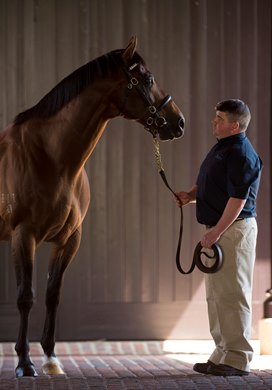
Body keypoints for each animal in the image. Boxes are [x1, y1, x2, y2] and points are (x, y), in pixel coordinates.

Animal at [0, 37, 185, 378]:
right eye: (148, 79)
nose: (179, 122)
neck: (50, 156)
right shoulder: (23, 235)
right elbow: (25, 297)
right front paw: (24, 363)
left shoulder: (69, 239)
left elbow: (53, 295)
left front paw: (51, 359)